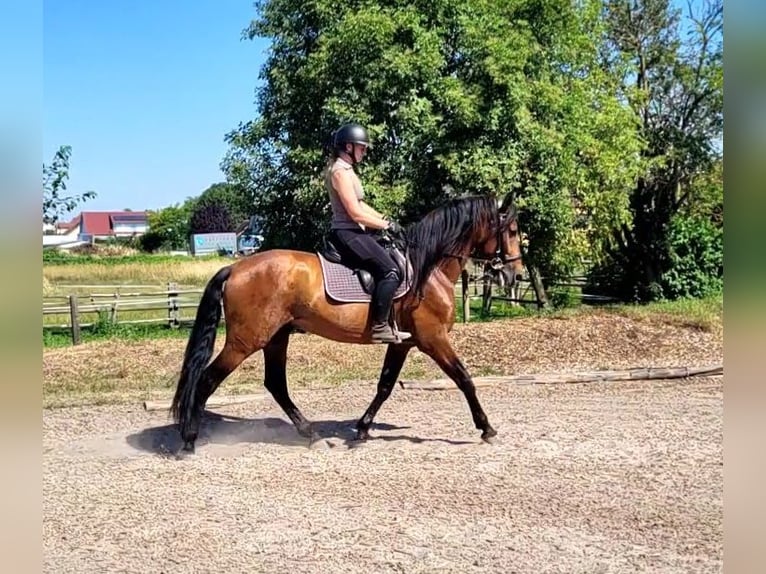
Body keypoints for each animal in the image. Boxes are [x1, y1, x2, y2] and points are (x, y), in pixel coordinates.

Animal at [171, 193, 524, 453]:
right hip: (246, 341)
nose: (515, 275)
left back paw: (309, 433)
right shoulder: (433, 339)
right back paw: (188, 440)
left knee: (275, 384)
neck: (428, 269)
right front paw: (487, 428)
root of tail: (235, 267)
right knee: (207, 380)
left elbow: (385, 386)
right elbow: (465, 379)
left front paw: (363, 429)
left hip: (276, 337)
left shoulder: (404, 343)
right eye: (511, 231)